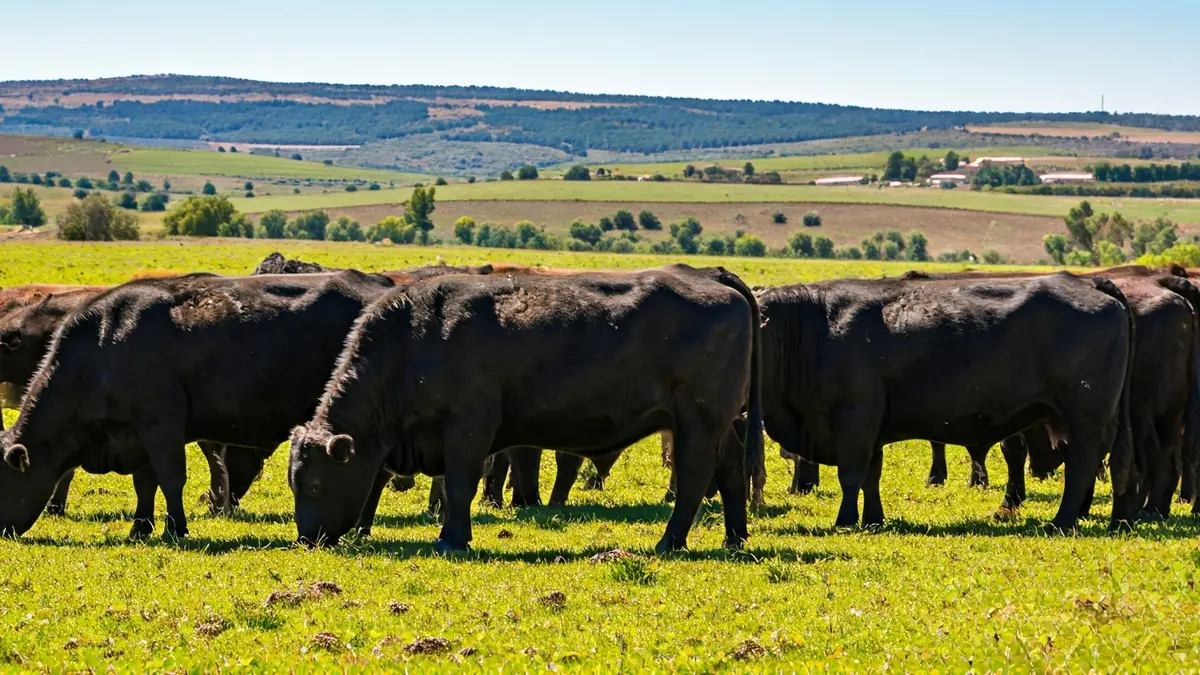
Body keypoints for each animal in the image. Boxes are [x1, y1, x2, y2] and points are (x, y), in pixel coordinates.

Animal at [0, 271, 398, 539]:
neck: (103, 344)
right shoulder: (137, 433)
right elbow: (145, 483)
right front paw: (140, 527)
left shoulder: (161, 425)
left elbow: (171, 478)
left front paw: (175, 528)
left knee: (376, 475)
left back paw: (362, 527)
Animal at [287, 264, 764, 554]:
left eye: (313, 485)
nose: (307, 539)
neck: (414, 339)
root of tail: (712, 277)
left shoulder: (468, 431)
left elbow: (461, 486)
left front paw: (452, 539)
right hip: (720, 425)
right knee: (731, 469)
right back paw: (734, 537)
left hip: (698, 423)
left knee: (695, 477)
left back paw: (670, 542)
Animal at [757, 271, 1137, 532]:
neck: (814, 327)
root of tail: (1087, 283)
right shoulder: (870, 428)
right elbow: (871, 477)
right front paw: (874, 520)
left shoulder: (853, 420)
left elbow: (851, 476)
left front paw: (846, 521)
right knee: (1115, 463)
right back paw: (1116, 520)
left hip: (1084, 419)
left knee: (1081, 466)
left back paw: (1061, 521)